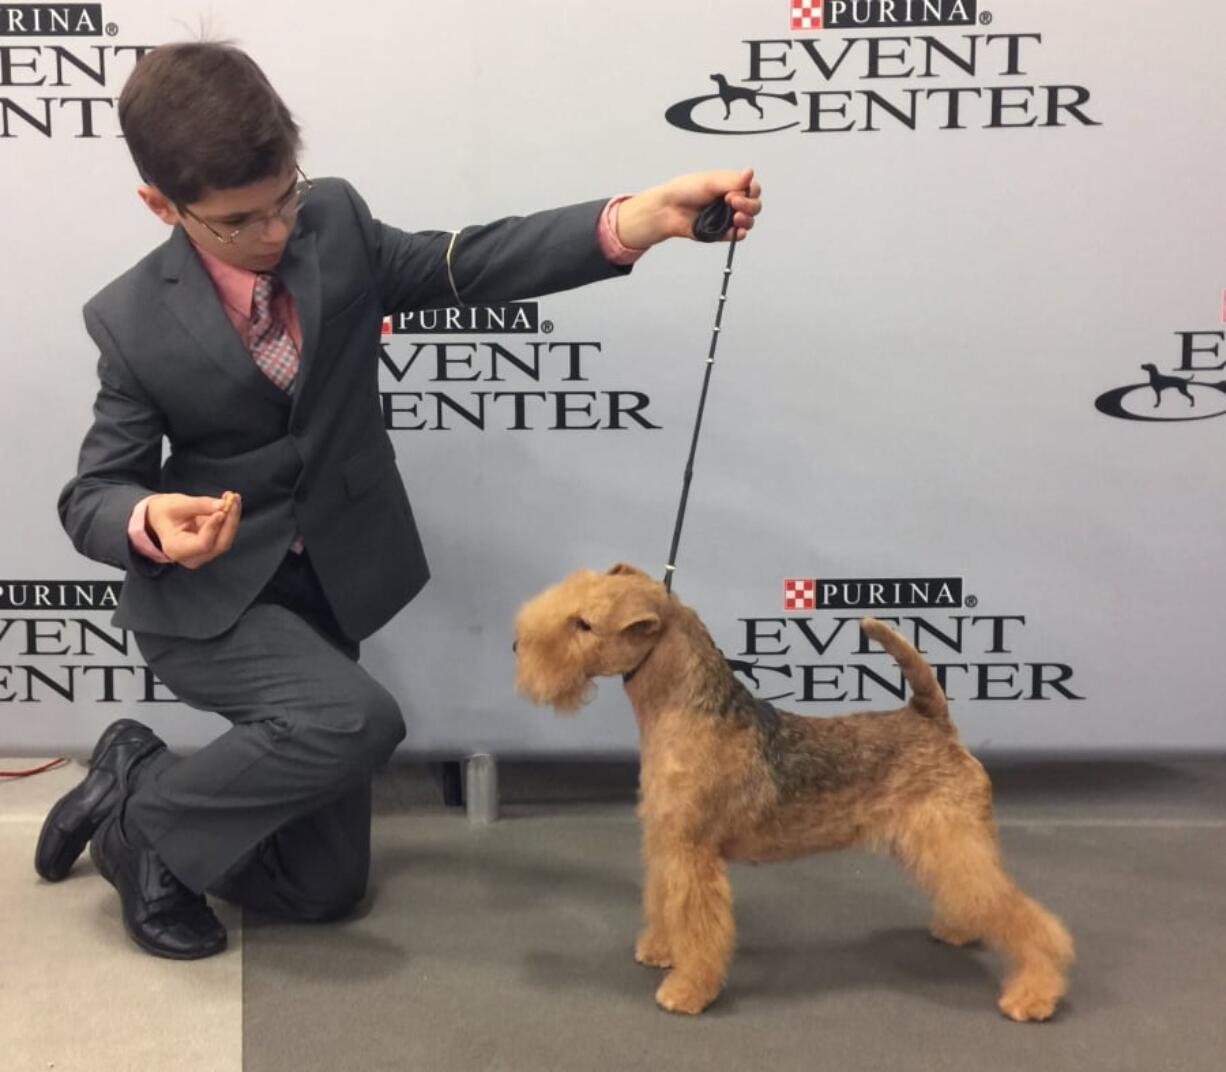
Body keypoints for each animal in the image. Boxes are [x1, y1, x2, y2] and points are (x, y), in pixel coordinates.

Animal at [514, 564, 1073, 1015]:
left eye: (583, 624)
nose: (517, 646)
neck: (684, 710)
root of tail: (932, 720)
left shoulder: (694, 852)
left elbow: (699, 925)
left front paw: (686, 990)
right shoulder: (666, 841)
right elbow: (664, 902)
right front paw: (659, 950)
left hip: (951, 837)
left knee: (1023, 915)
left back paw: (1034, 992)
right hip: (939, 841)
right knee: (977, 895)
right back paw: (960, 928)